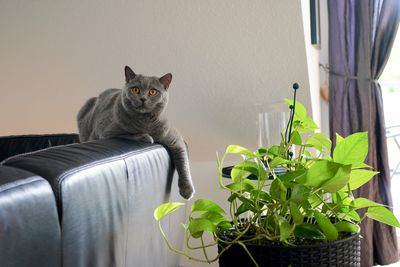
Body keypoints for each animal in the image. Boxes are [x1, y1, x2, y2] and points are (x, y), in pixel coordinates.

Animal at [77, 66, 195, 200]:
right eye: (135, 89)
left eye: (153, 92)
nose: (143, 98)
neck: (145, 121)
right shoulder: (106, 131)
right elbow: (129, 134)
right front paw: (147, 137)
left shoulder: (175, 138)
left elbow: (183, 161)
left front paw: (187, 190)